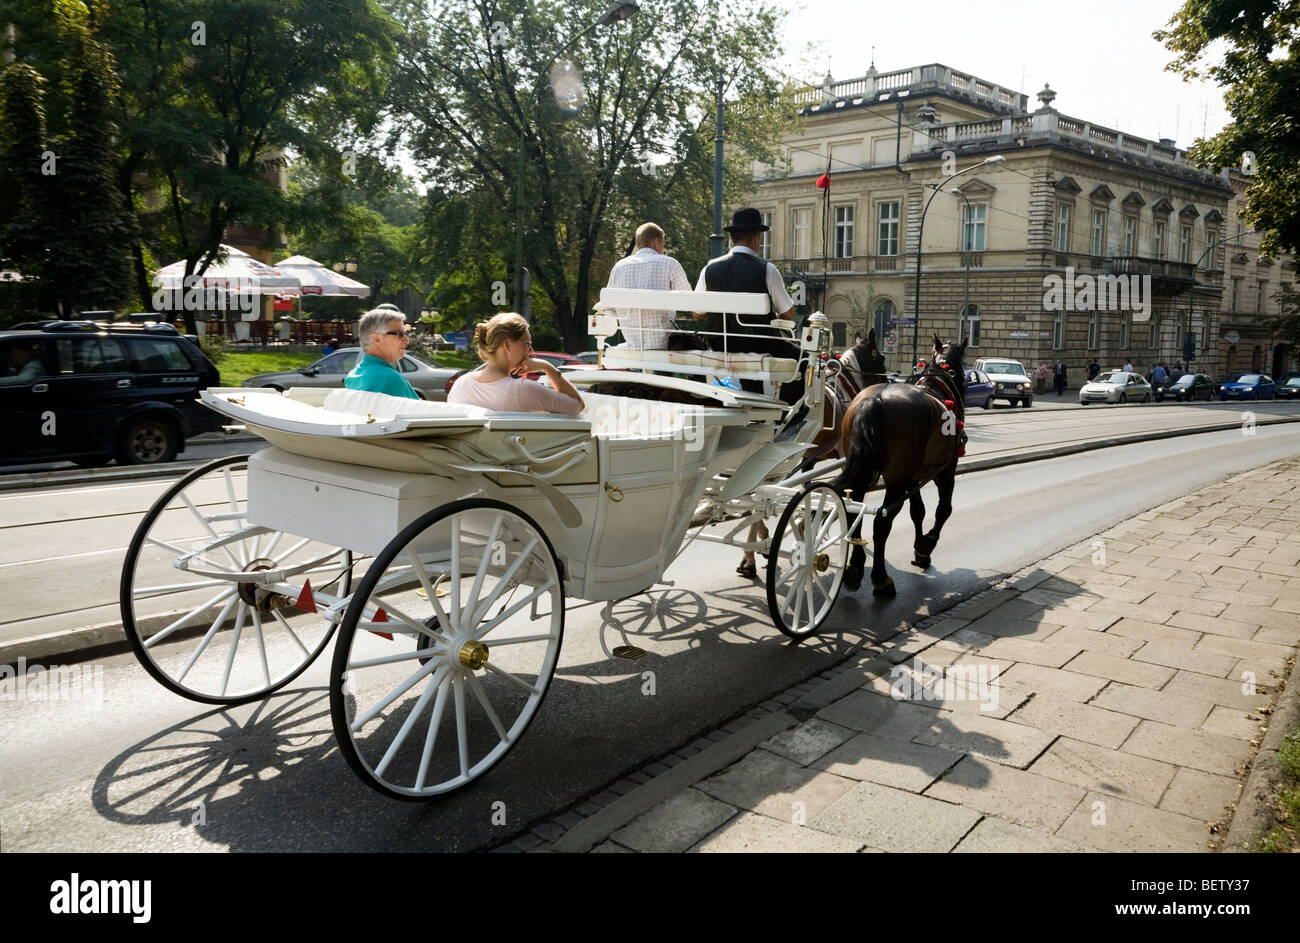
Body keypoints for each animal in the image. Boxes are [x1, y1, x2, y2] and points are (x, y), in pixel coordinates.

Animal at [832, 335, 967, 593]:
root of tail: (874, 399)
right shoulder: (946, 470)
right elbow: (943, 510)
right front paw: (926, 545)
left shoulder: (913, 477)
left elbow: (918, 511)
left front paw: (919, 547)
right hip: (896, 481)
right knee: (882, 522)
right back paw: (880, 578)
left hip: (867, 472)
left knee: (855, 510)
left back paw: (855, 568)